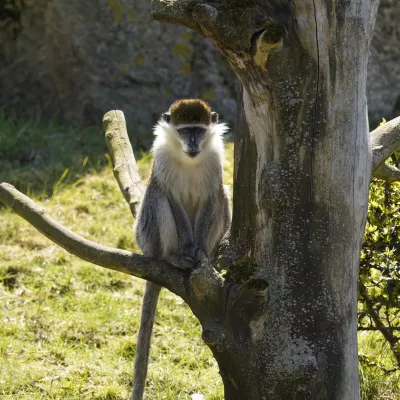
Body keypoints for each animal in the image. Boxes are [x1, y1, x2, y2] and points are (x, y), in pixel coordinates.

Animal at [132, 99, 231, 400]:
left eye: (198, 130)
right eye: (184, 130)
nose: (193, 143)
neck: (190, 159)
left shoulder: (215, 159)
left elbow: (213, 197)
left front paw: (201, 253)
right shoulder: (161, 157)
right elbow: (172, 198)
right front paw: (188, 248)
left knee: (223, 194)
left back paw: (207, 257)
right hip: (148, 239)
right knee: (156, 195)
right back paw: (174, 258)